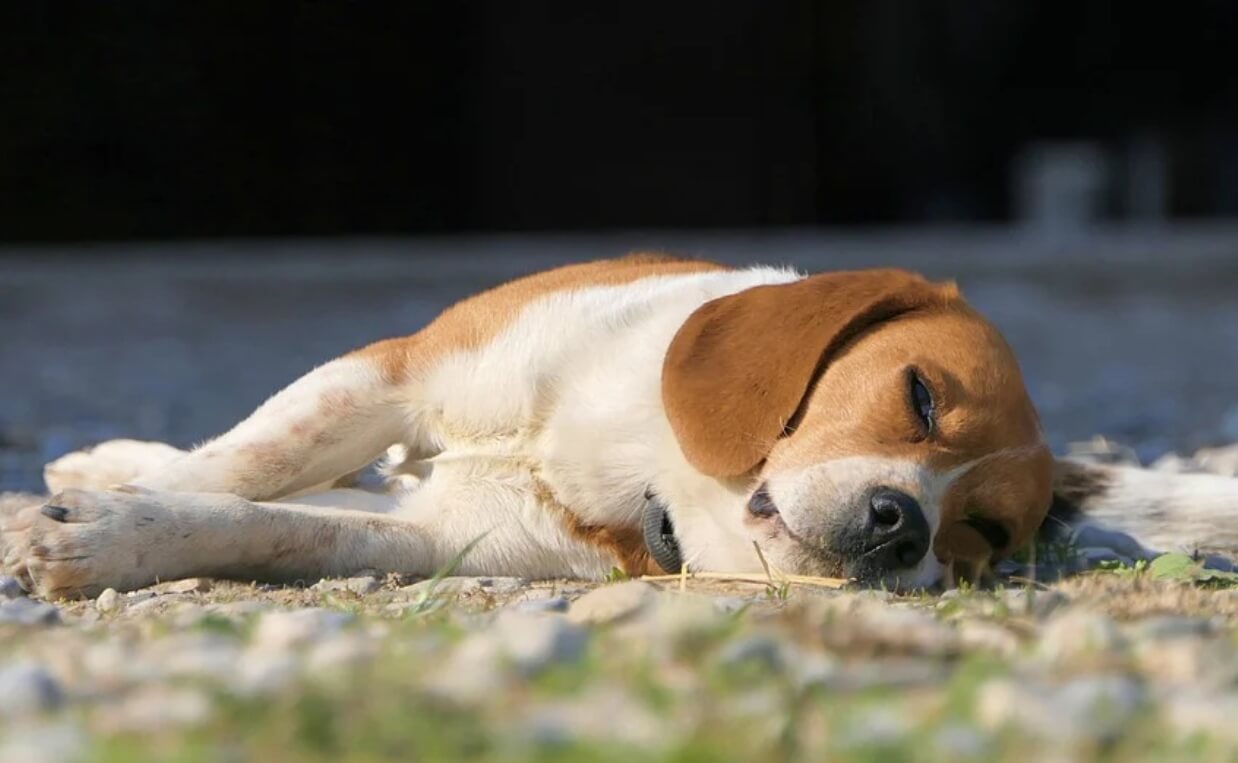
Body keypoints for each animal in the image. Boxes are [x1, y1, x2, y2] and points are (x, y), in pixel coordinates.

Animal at [2, 256, 1238, 597]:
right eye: (921, 397)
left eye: (977, 537)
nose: (903, 528)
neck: (641, 460)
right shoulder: (397, 370)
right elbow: (247, 463)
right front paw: (108, 499)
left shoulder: (434, 537)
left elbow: (272, 521)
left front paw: (104, 533)